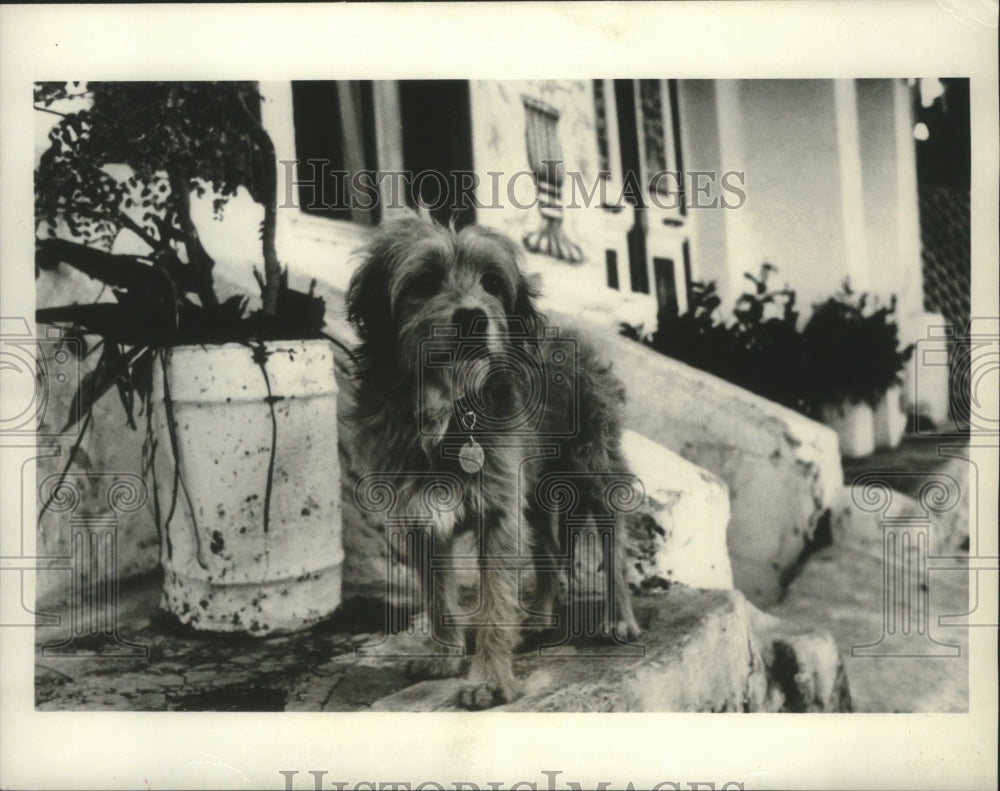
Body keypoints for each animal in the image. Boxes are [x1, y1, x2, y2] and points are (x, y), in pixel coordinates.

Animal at [348, 213, 636, 708]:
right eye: (424, 282)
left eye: (493, 283)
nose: (472, 317)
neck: (449, 408)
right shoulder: (419, 516)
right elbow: (438, 598)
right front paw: (444, 656)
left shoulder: (499, 516)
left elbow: (495, 603)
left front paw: (490, 680)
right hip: (534, 494)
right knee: (551, 554)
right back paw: (537, 616)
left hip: (594, 469)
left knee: (612, 539)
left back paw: (617, 617)